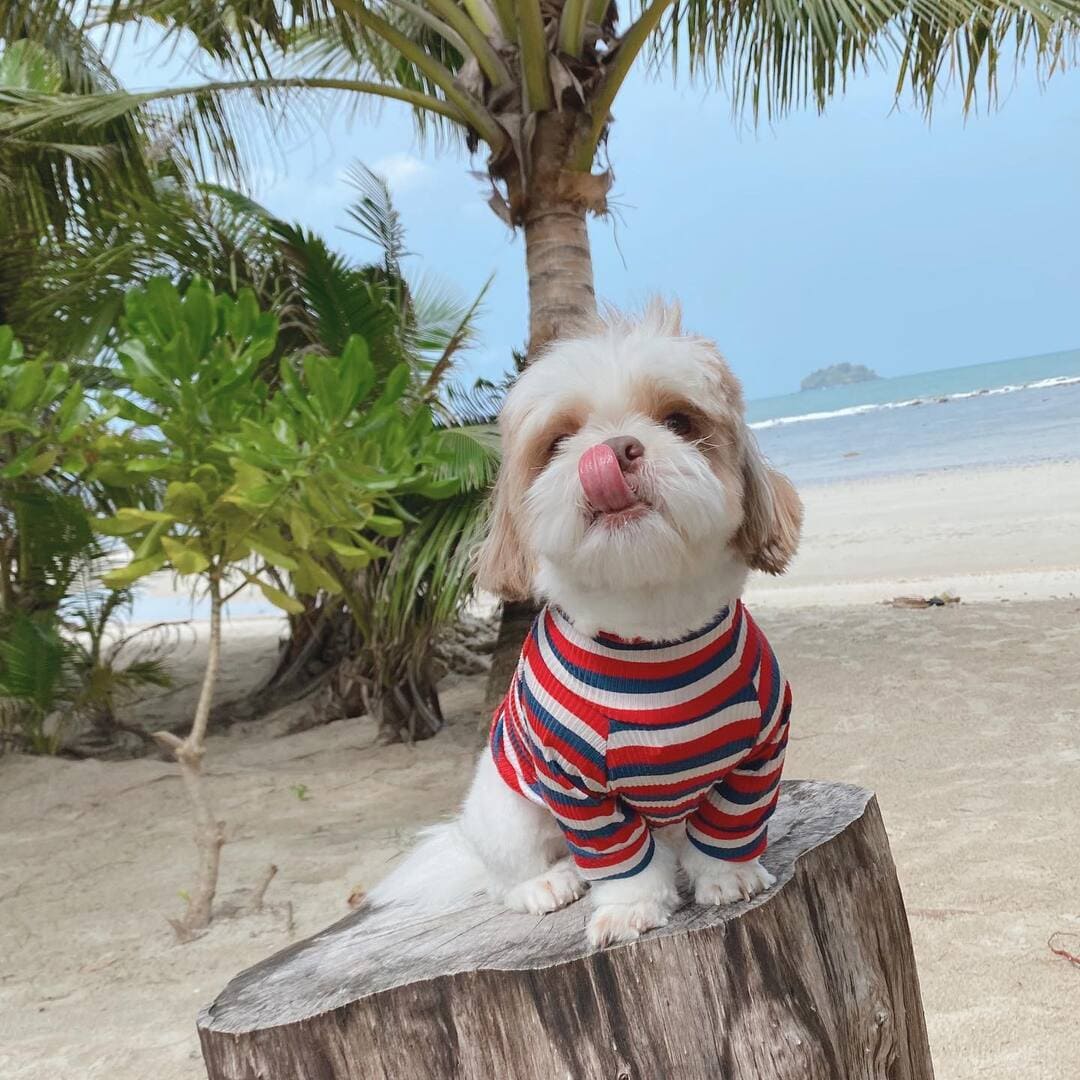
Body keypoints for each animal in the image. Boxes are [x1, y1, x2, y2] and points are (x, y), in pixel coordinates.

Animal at [371, 302, 802, 948]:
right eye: (558, 441)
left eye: (679, 420)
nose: (616, 450)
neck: (649, 628)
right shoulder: (575, 785)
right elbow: (620, 860)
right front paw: (629, 909)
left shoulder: (759, 753)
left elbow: (728, 829)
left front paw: (729, 877)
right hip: (505, 810)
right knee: (510, 871)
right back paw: (549, 882)